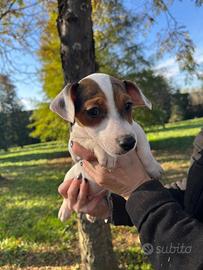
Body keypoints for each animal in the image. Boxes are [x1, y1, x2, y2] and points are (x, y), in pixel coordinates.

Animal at [50, 72, 163, 221]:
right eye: (93, 111)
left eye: (128, 105)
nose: (128, 142)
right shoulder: (74, 144)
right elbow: (90, 140)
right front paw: (106, 154)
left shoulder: (136, 129)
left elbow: (144, 147)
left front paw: (153, 167)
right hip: (70, 177)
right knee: (67, 198)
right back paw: (64, 210)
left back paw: (91, 215)